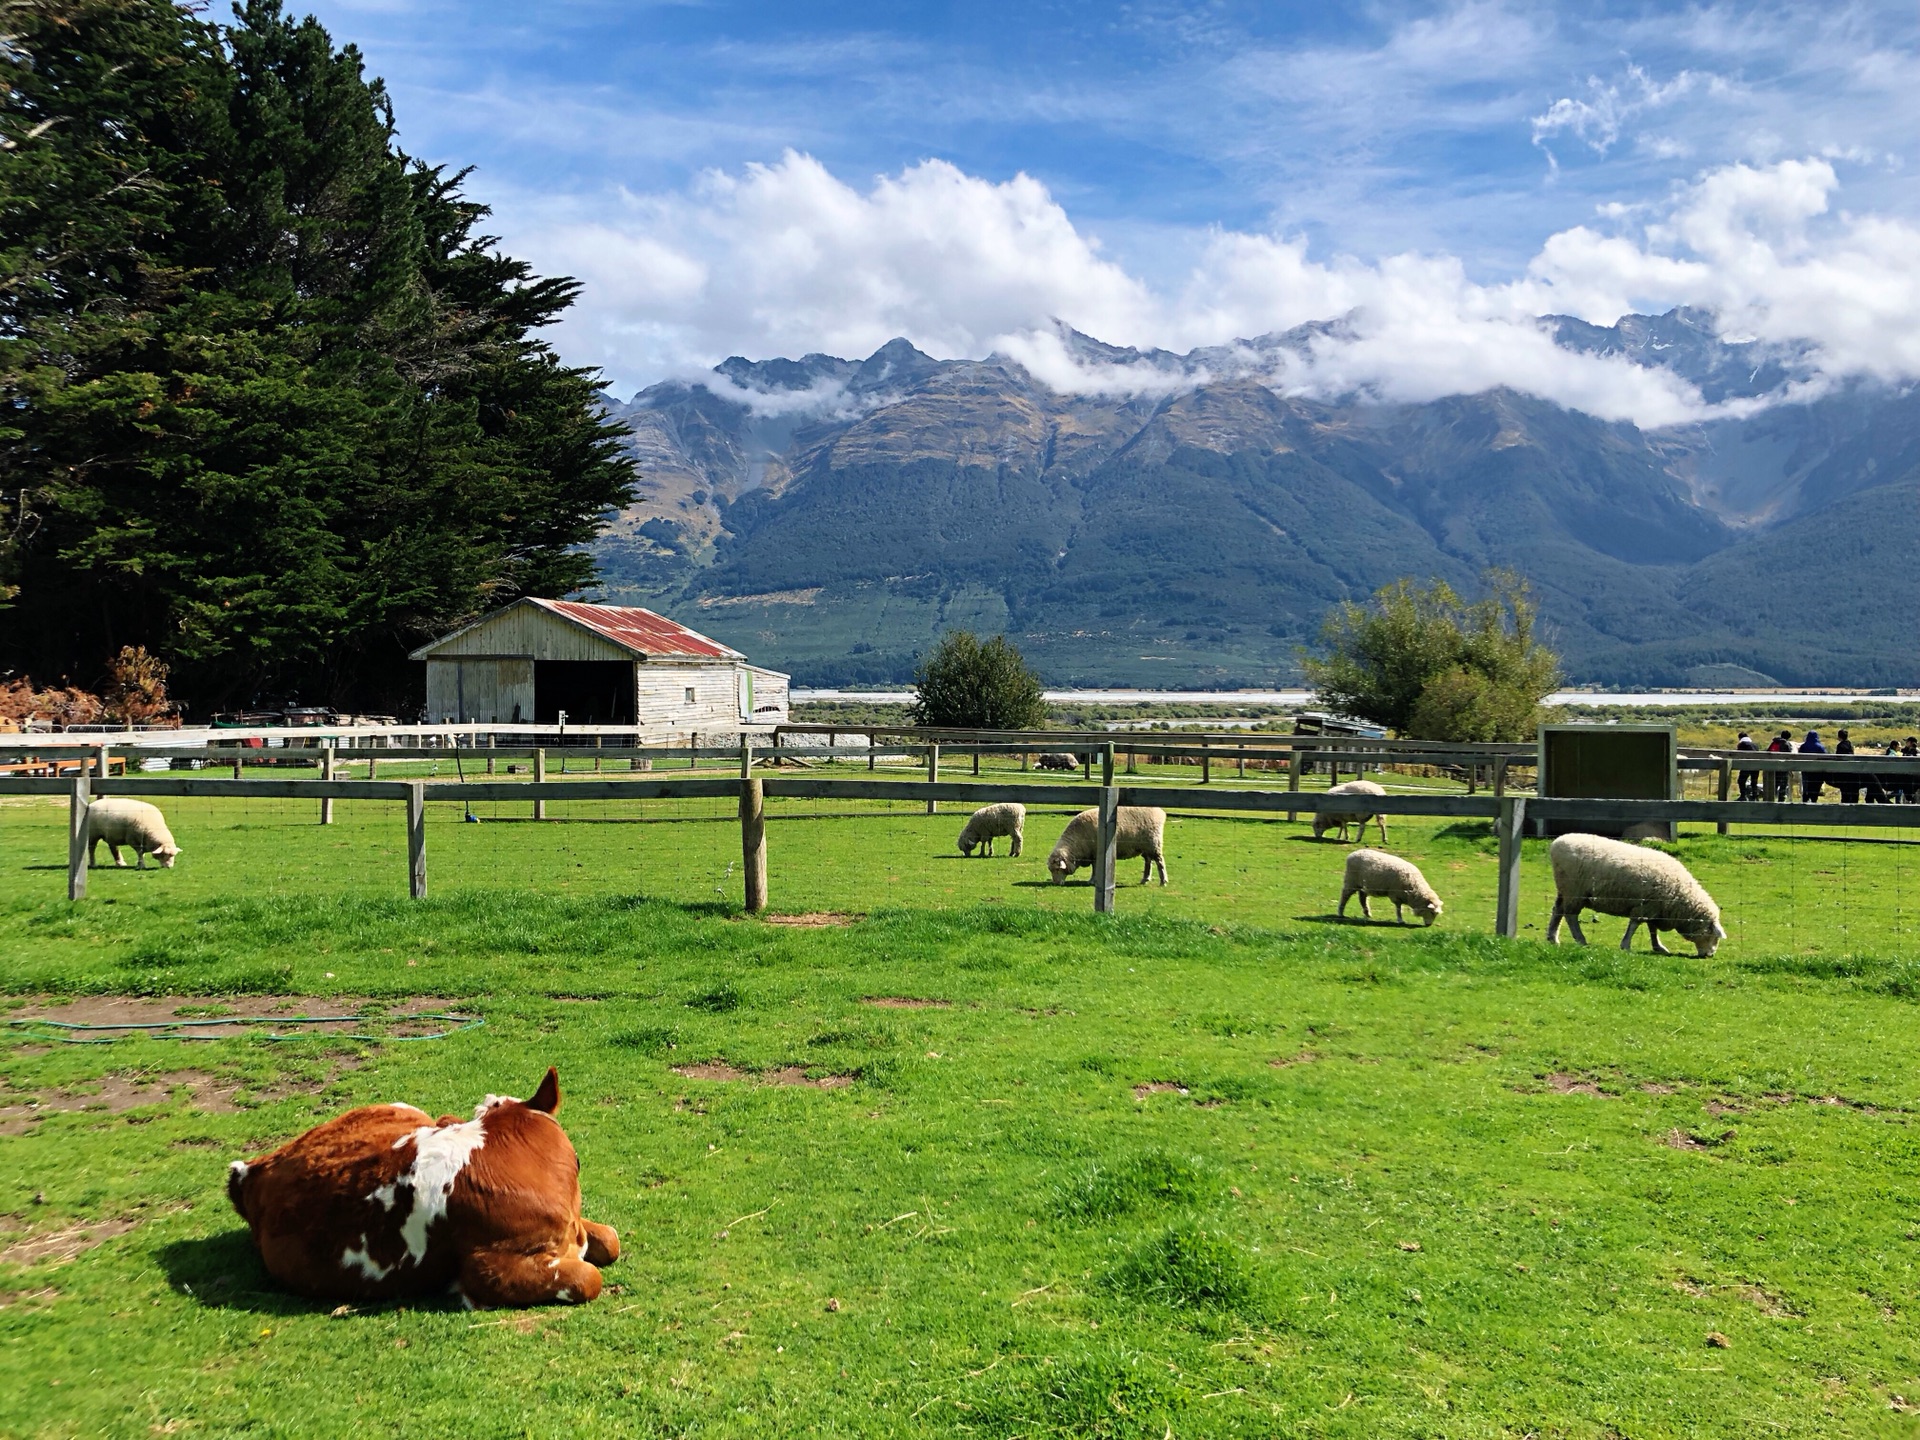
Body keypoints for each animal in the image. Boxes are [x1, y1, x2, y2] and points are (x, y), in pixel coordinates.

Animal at [1543, 833, 1728, 960]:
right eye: (1714, 936)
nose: (1710, 955)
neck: (1680, 897)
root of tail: (1555, 843)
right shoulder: (1645, 906)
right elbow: (1635, 925)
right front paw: (1626, 945)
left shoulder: (1654, 907)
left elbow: (1652, 928)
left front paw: (1658, 947)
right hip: (1575, 890)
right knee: (1571, 915)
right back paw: (1580, 939)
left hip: (1565, 890)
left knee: (1557, 910)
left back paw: (1553, 938)